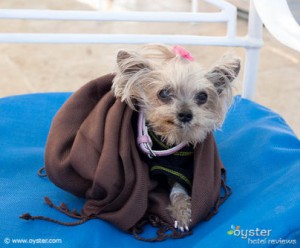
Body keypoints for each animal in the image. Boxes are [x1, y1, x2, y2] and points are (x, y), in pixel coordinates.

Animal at [111, 43, 240, 232]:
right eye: (163, 93)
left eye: (203, 96)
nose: (186, 114)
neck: (172, 138)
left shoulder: (181, 168)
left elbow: (179, 189)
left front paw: (183, 212)